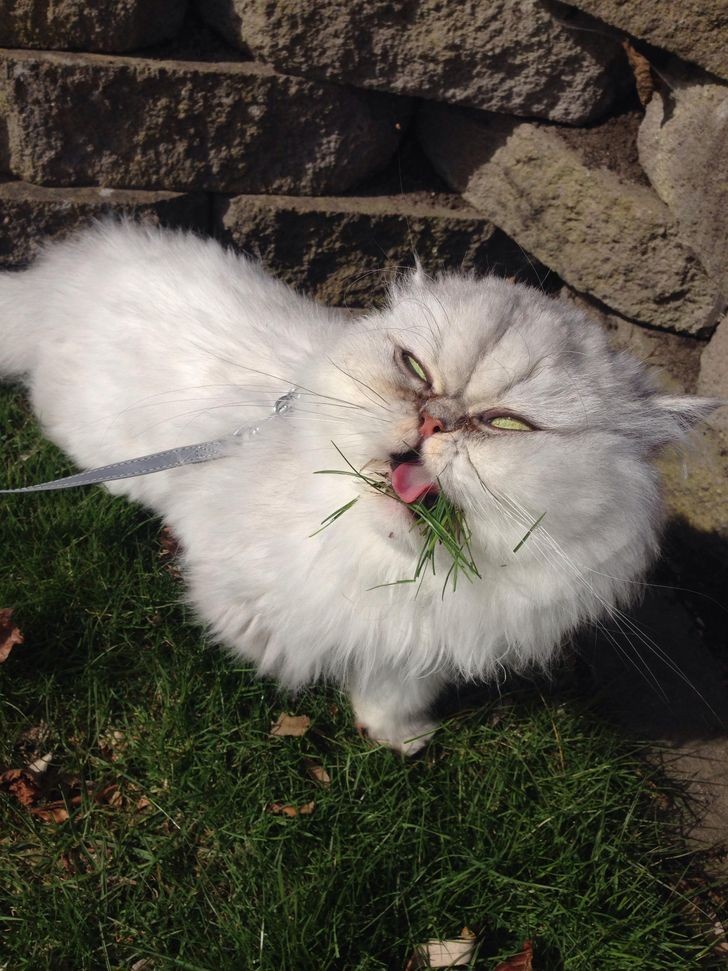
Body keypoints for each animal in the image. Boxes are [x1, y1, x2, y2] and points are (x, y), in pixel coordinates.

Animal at [0, 224, 716, 756]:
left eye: (506, 425)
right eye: (414, 369)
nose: (434, 418)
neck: (392, 571)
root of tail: (65, 270)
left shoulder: (419, 652)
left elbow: (392, 693)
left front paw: (397, 738)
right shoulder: (239, 584)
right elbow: (269, 633)